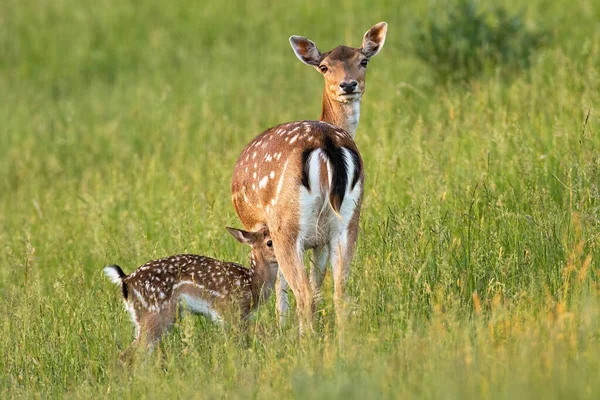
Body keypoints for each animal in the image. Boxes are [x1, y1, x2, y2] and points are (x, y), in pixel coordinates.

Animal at [230, 21, 390, 332]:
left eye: (363, 61)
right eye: (325, 67)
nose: (348, 84)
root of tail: (326, 142)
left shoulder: (265, 231)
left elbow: (281, 284)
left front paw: (281, 327)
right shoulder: (323, 240)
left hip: (288, 226)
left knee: (304, 294)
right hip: (349, 220)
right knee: (339, 293)